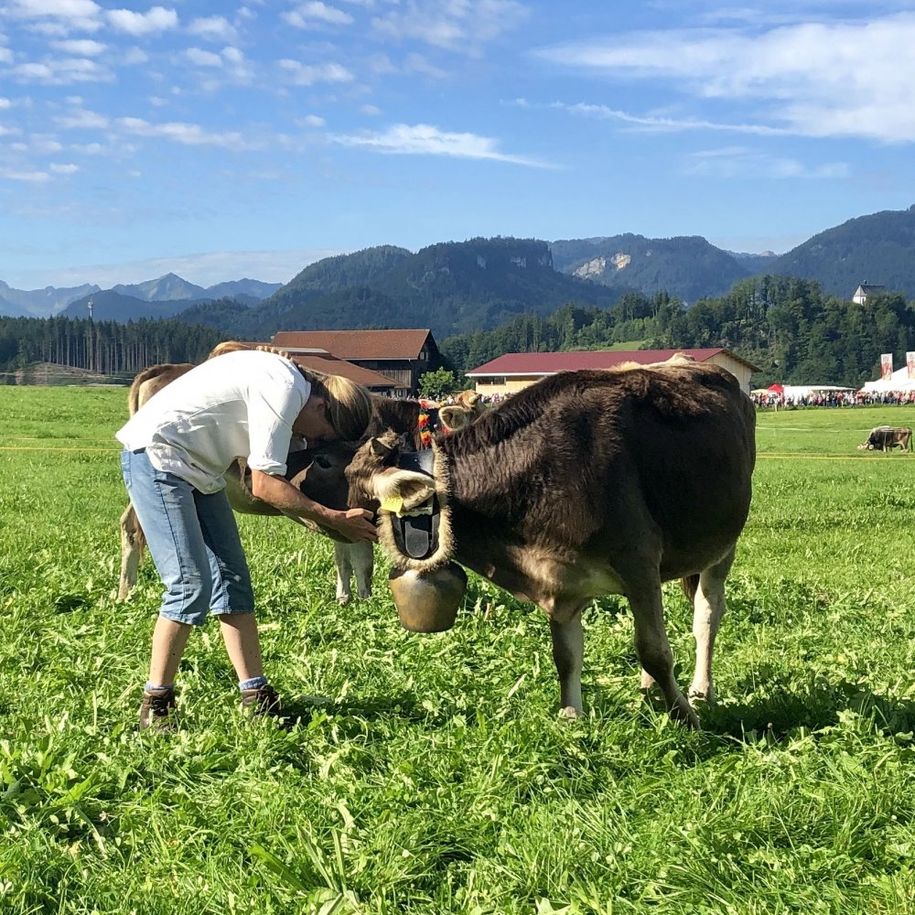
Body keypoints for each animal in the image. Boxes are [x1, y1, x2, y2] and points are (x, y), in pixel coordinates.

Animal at [346, 362, 760, 728]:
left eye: (361, 489)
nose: (343, 526)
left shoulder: (638, 559)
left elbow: (654, 651)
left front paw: (686, 717)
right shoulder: (560, 580)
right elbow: (566, 655)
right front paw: (571, 718)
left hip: (723, 545)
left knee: (706, 616)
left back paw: (700, 690)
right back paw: (648, 690)